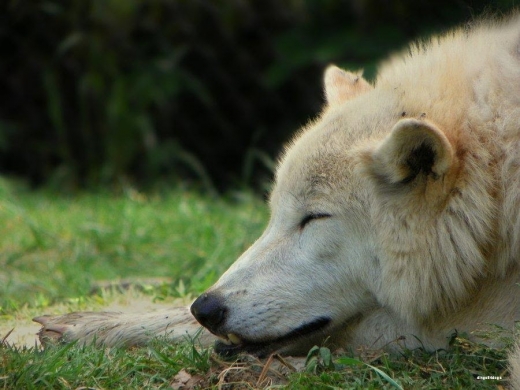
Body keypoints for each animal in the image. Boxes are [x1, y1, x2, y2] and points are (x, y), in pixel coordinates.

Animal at [34, 14, 516, 384]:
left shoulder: (480, 323)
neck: (493, 196)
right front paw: (94, 324)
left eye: (313, 218)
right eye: (275, 215)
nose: (206, 309)